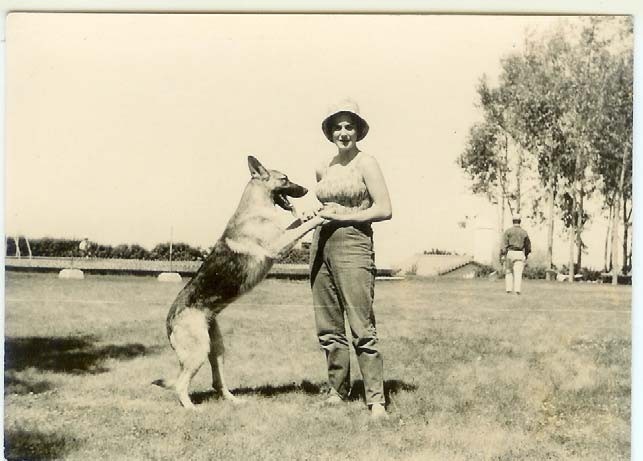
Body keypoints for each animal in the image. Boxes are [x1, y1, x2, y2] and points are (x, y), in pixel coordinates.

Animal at [159, 156, 324, 409]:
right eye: (285, 179)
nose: (306, 190)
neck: (256, 207)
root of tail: (170, 321)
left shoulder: (283, 235)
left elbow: (296, 222)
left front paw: (309, 212)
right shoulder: (279, 246)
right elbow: (302, 227)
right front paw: (321, 215)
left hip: (216, 348)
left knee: (217, 381)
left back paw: (234, 400)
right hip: (199, 350)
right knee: (180, 384)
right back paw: (191, 408)